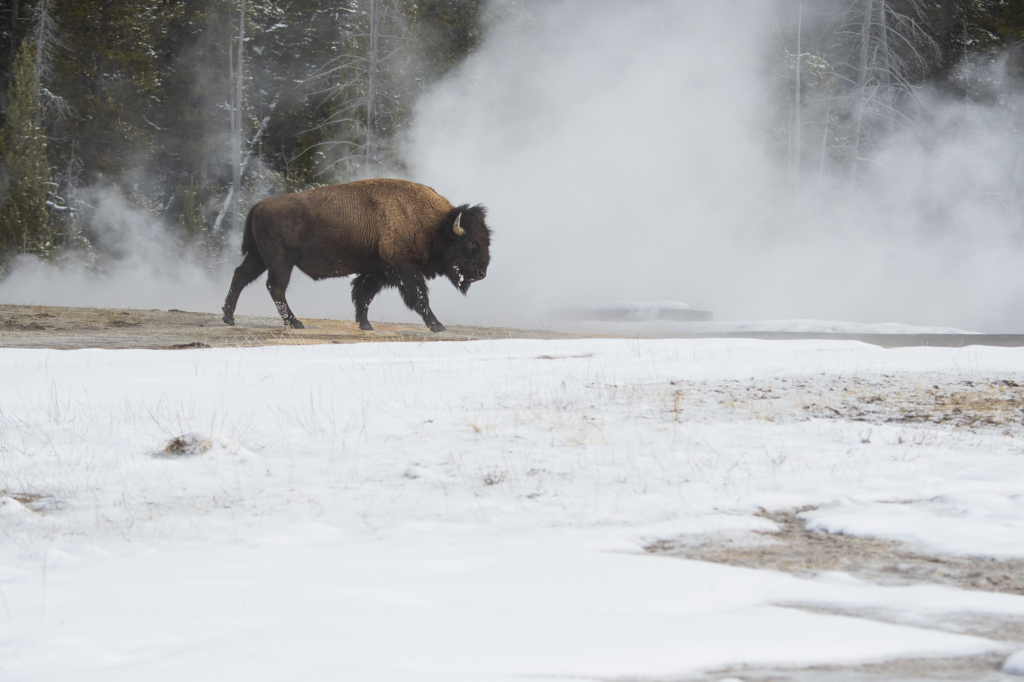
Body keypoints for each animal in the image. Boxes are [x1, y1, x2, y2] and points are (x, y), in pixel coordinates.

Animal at [221, 178, 491, 331]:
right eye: (470, 243)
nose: (481, 273)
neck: (433, 225)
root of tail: (260, 204)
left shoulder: (377, 271)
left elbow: (363, 295)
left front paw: (366, 325)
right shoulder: (405, 269)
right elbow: (420, 297)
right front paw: (438, 326)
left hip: (259, 258)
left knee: (240, 276)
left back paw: (229, 318)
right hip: (280, 261)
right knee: (275, 286)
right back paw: (295, 323)